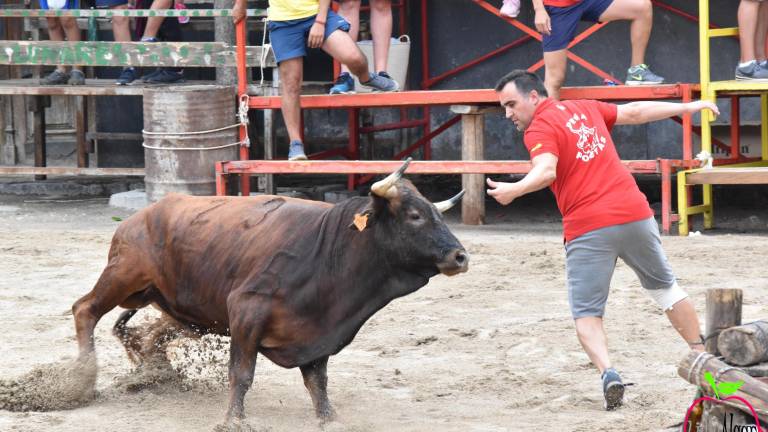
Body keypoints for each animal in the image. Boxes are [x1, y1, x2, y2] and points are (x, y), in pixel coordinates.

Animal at [72, 159, 468, 428]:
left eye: (437, 215)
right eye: (415, 215)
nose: (460, 256)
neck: (331, 250)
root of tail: (140, 217)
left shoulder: (318, 331)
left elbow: (318, 382)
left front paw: (329, 418)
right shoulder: (246, 312)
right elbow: (241, 373)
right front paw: (233, 420)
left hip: (174, 306)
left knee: (146, 333)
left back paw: (151, 373)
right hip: (122, 276)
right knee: (84, 310)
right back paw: (82, 381)